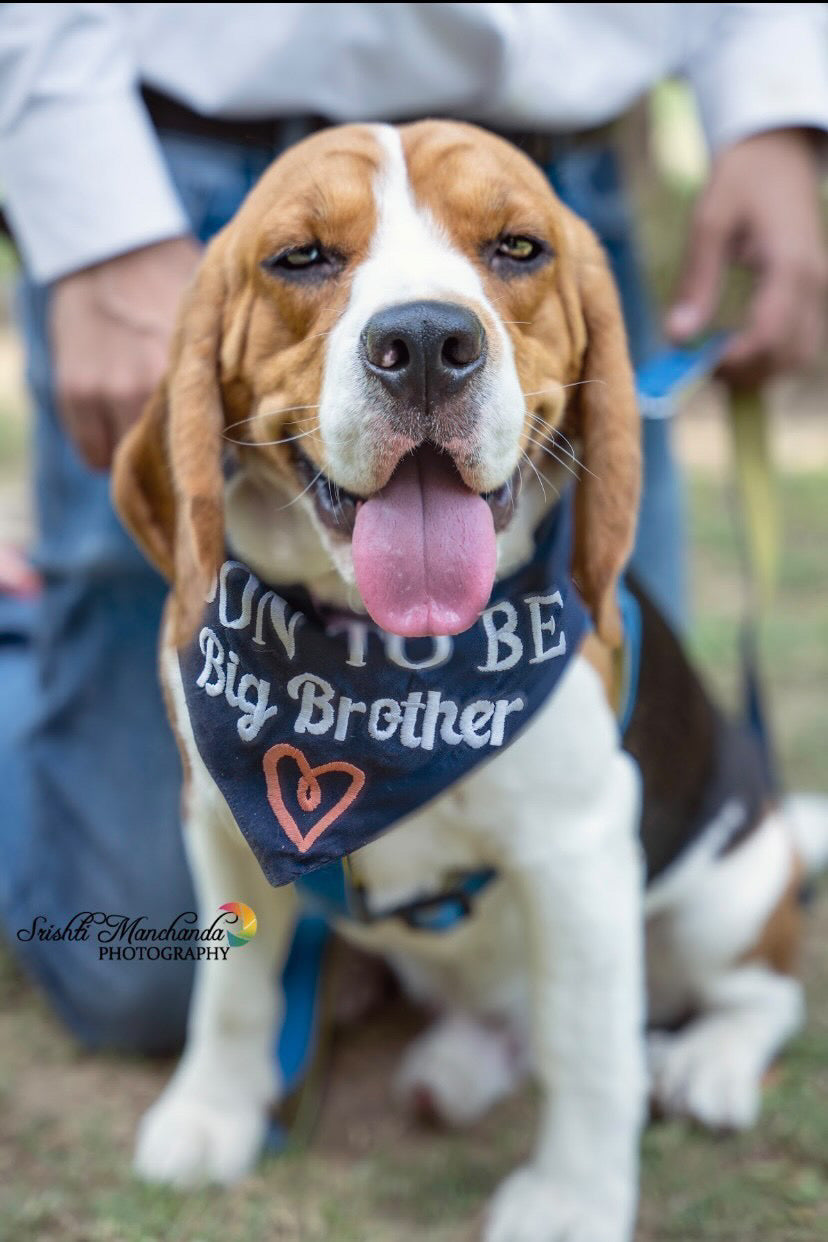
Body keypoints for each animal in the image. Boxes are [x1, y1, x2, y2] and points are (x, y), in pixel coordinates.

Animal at [113, 118, 824, 1242]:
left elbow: (590, 1052)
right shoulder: (216, 818)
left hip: (725, 894)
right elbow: (234, 991)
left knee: (757, 993)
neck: (376, 658)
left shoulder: (577, 852)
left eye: (519, 249)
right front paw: (210, 1116)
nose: (425, 344)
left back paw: (707, 1064)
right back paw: (460, 1064)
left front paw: (574, 1199)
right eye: (300, 256)